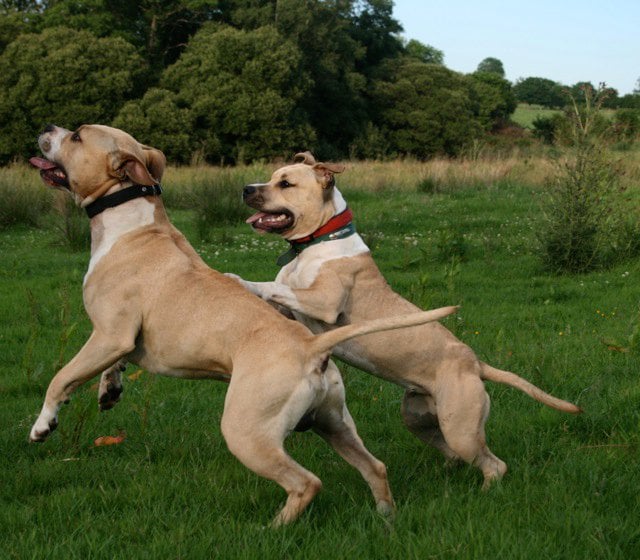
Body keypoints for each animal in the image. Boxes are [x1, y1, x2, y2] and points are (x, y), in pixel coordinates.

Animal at [26, 127, 456, 524]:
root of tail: (311, 347)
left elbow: (61, 379)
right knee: (375, 467)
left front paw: (44, 424)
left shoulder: (108, 335)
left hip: (247, 433)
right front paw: (109, 389)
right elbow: (111, 365)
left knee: (306, 482)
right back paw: (386, 518)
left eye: (77, 136)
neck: (131, 223)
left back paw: (275, 528)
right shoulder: (119, 341)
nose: (47, 129)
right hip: (333, 424)